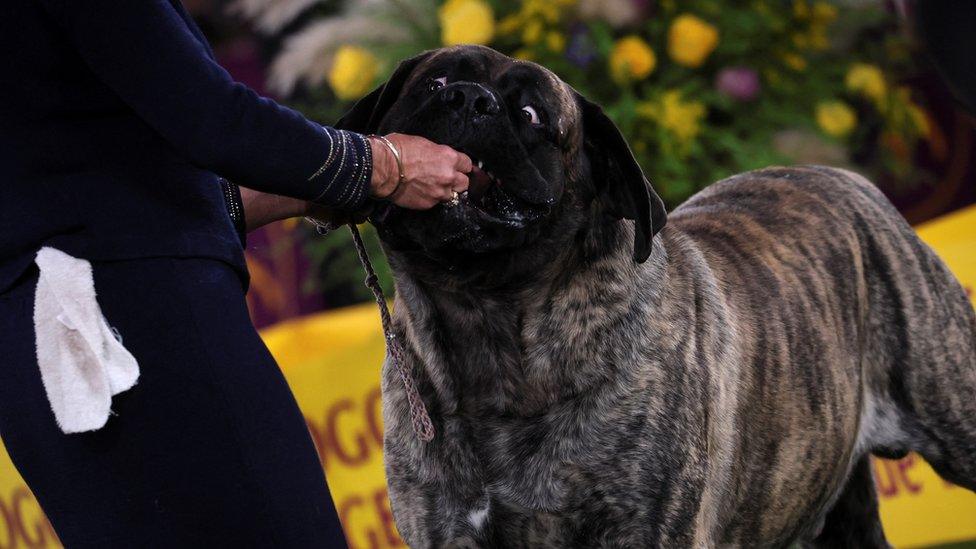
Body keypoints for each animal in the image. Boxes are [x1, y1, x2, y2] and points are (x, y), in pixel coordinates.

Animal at [336, 45, 976, 544]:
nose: (470, 99)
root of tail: (849, 180)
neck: (487, 324)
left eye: (532, 114)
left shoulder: (645, 527)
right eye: (434, 83)